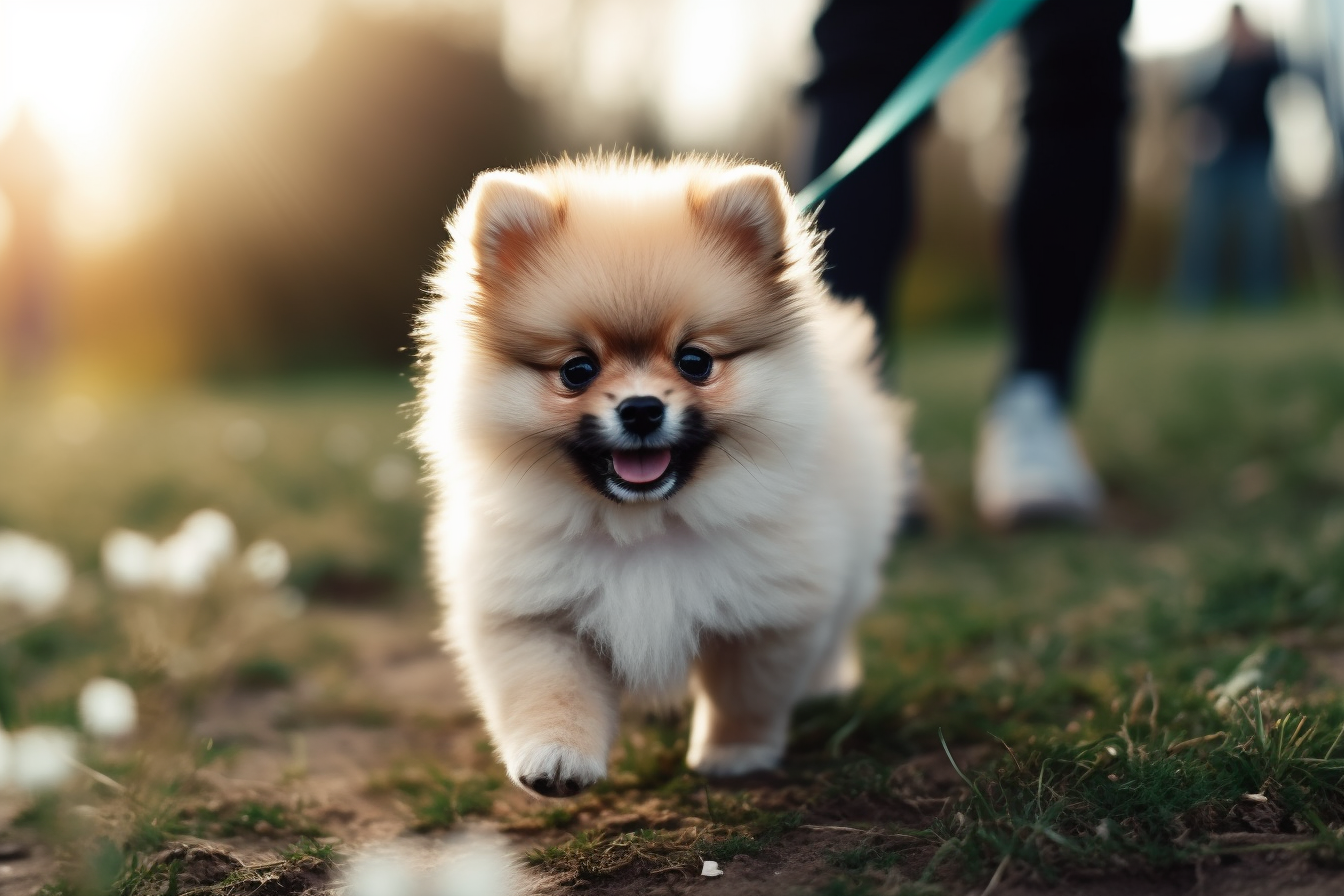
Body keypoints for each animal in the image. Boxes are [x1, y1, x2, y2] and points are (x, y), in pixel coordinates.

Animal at [413, 154, 908, 800]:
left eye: (695, 361)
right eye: (577, 370)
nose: (642, 408)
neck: (643, 529)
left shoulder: (769, 610)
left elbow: (746, 693)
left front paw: (735, 752)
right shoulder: (534, 613)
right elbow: (551, 690)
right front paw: (555, 760)